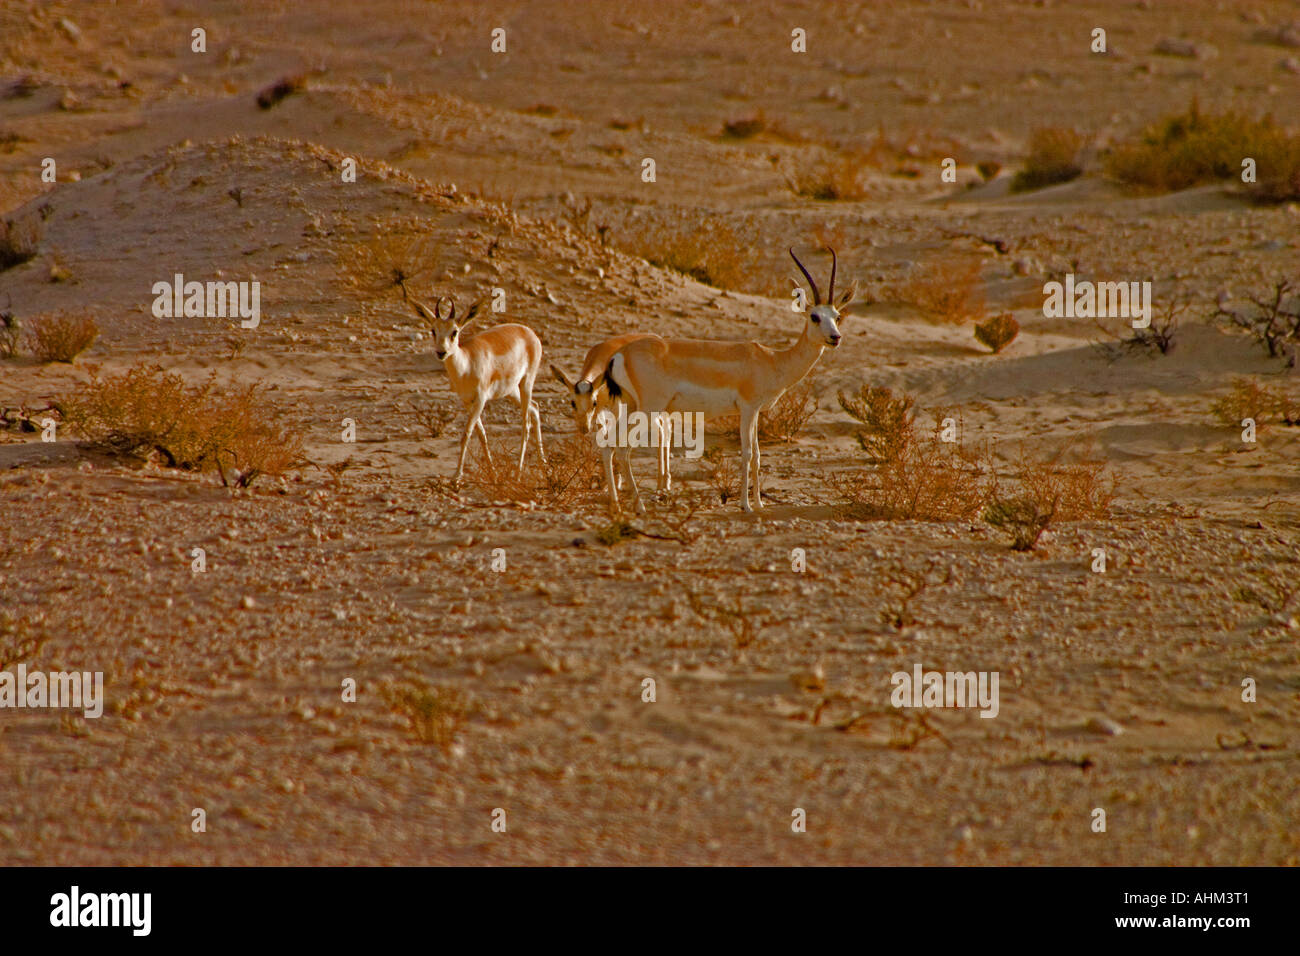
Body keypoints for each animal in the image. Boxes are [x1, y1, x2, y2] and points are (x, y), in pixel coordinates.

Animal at [407, 293, 545, 482]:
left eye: (454, 331)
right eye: (433, 330)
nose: (441, 352)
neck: (467, 364)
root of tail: (528, 332)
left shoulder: (480, 400)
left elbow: (467, 433)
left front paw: (457, 476)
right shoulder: (467, 402)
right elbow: (481, 434)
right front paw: (492, 472)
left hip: (526, 383)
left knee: (526, 423)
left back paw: (518, 472)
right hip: (512, 391)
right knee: (535, 408)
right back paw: (542, 462)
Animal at [551, 332, 672, 515]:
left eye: (592, 402)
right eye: (573, 402)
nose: (584, 428)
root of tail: (656, 337)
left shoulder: (615, 407)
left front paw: (618, 482)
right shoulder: (600, 413)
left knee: (664, 429)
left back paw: (662, 486)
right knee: (661, 429)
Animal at [606, 247, 854, 512]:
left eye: (837, 316)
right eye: (815, 316)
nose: (835, 338)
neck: (772, 360)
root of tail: (621, 353)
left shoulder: (756, 412)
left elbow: (757, 456)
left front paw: (759, 504)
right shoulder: (747, 409)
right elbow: (746, 454)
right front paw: (746, 505)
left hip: (630, 406)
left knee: (608, 444)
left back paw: (616, 506)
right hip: (649, 409)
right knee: (622, 449)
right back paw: (639, 506)